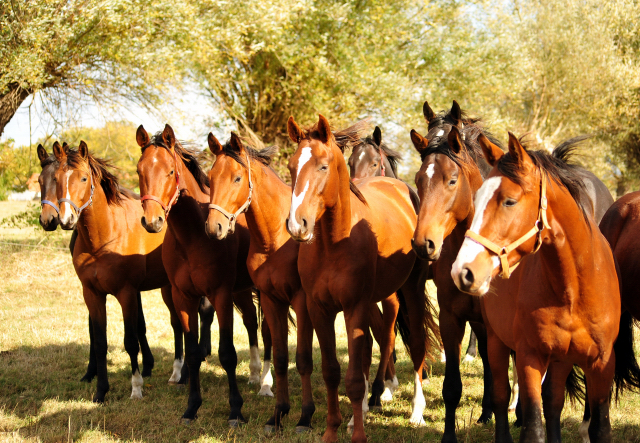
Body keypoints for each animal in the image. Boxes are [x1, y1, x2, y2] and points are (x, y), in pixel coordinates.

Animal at [135, 124, 268, 426]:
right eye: (139, 170)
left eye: (170, 171)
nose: (152, 221)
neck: (193, 237)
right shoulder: (183, 297)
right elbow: (193, 352)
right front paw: (191, 407)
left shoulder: (220, 295)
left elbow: (228, 354)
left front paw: (235, 411)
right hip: (241, 291)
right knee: (251, 323)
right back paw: (255, 375)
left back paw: (266, 385)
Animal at [204, 132, 316, 434]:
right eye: (210, 177)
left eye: (237, 178)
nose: (214, 227)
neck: (276, 237)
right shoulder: (270, 298)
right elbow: (280, 357)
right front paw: (278, 415)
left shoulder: (301, 301)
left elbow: (303, 359)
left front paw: (305, 417)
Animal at [450, 134, 640, 442]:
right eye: (476, 199)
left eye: (509, 201)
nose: (462, 271)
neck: (573, 289)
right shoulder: (530, 357)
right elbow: (532, 427)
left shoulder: (601, 363)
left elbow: (598, 426)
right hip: (496, 341)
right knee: (501, 397)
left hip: (561, 359)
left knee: (553, 403)